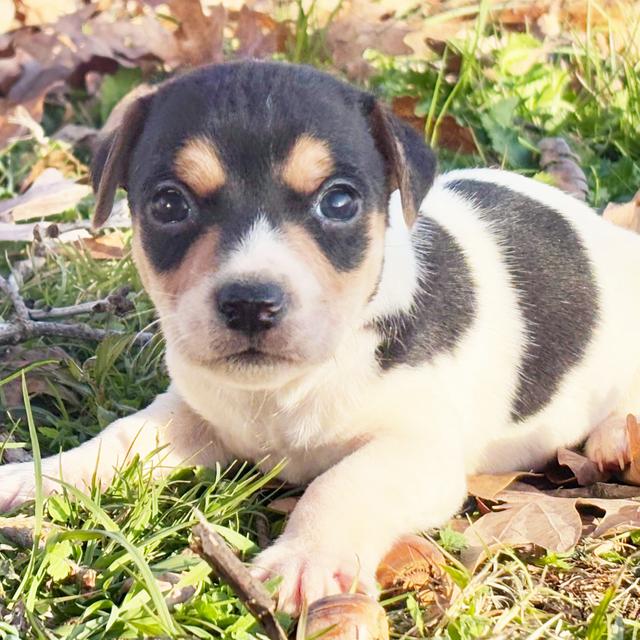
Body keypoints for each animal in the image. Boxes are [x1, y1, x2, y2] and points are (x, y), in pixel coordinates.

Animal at [1, 60, 640, 616]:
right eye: (167, 204)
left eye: (339, 201)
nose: (251, 303)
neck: (292, 384)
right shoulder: (191, 413)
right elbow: (119, 439)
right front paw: (37, 477)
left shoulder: (418, 452)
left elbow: (342, 482)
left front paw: (303, 559)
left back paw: (615, 439)